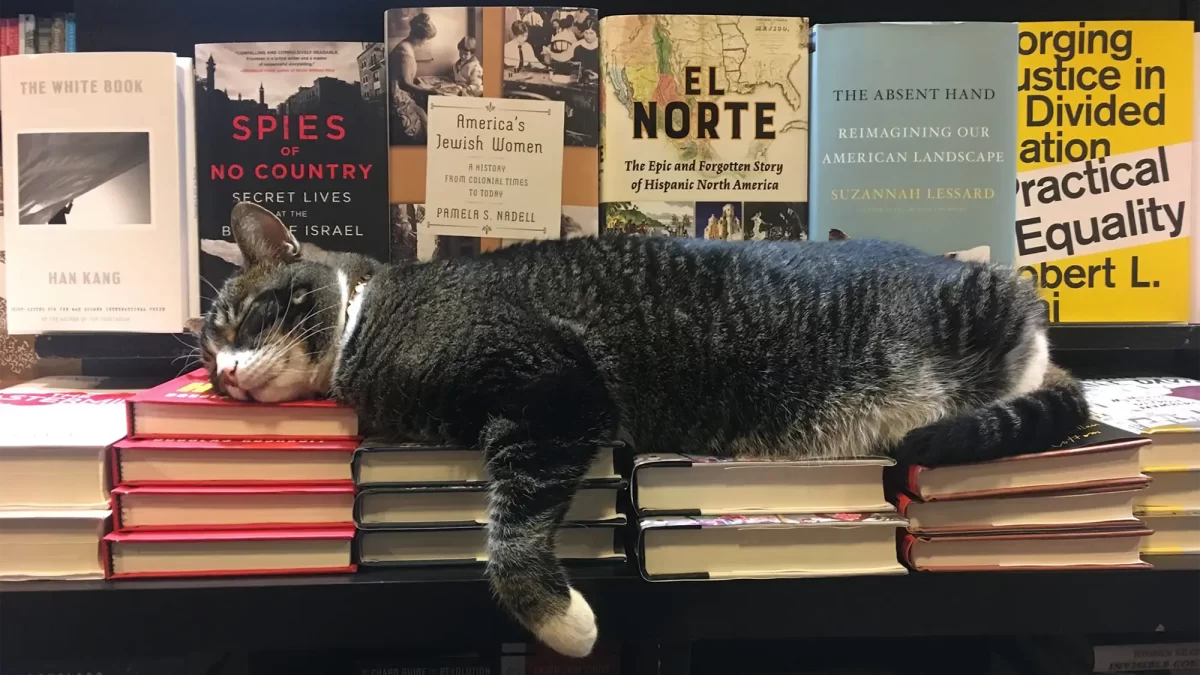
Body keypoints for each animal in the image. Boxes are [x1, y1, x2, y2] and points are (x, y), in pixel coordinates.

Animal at [199, 201, 1089, 653]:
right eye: (206, 356)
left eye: (239, 317)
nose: (225, 377)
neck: (366, 320)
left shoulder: (556, 389)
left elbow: (510, 523)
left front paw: (561, 621)